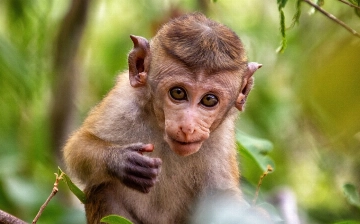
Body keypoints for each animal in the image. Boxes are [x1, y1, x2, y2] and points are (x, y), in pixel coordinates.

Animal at [63, 12, 262, 224]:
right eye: (178, 93)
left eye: (209, 100)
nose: (188, 127)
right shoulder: (122, 101)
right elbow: (78, 147)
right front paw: (122, 161)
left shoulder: (221, 137)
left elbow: (224, 198)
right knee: (103, 189)